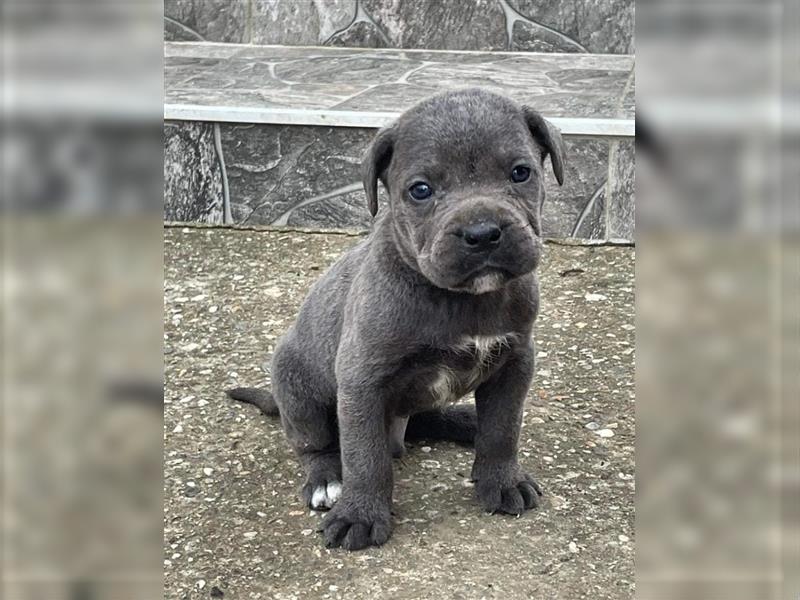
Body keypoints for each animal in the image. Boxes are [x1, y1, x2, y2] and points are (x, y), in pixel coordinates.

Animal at [228, 86, 564, 552]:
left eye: (520, 173)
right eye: (420, 190)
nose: (482, 233)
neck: (459, 299)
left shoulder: (515, 361)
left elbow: (502, 428)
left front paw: (502, 481)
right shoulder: (362, 380)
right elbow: (365, 456)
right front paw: (360, 514)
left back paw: (466, 421)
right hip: (296, 386)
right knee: (317, 445)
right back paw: (327, 481)